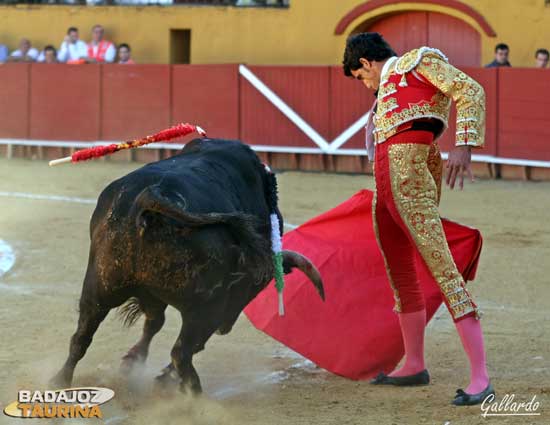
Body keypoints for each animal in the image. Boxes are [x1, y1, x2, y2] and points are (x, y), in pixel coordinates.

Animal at [51, 137, 324, 392]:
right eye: (253, 288)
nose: (226, 327)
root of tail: (152, 199)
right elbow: (182, 339)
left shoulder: (150, 294)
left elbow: (154, 323)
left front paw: (131, 362)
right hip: (205, 308)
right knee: (182, 352)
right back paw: (192, 394)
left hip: (99, 285)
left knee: (81, 337)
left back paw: (59, 381)